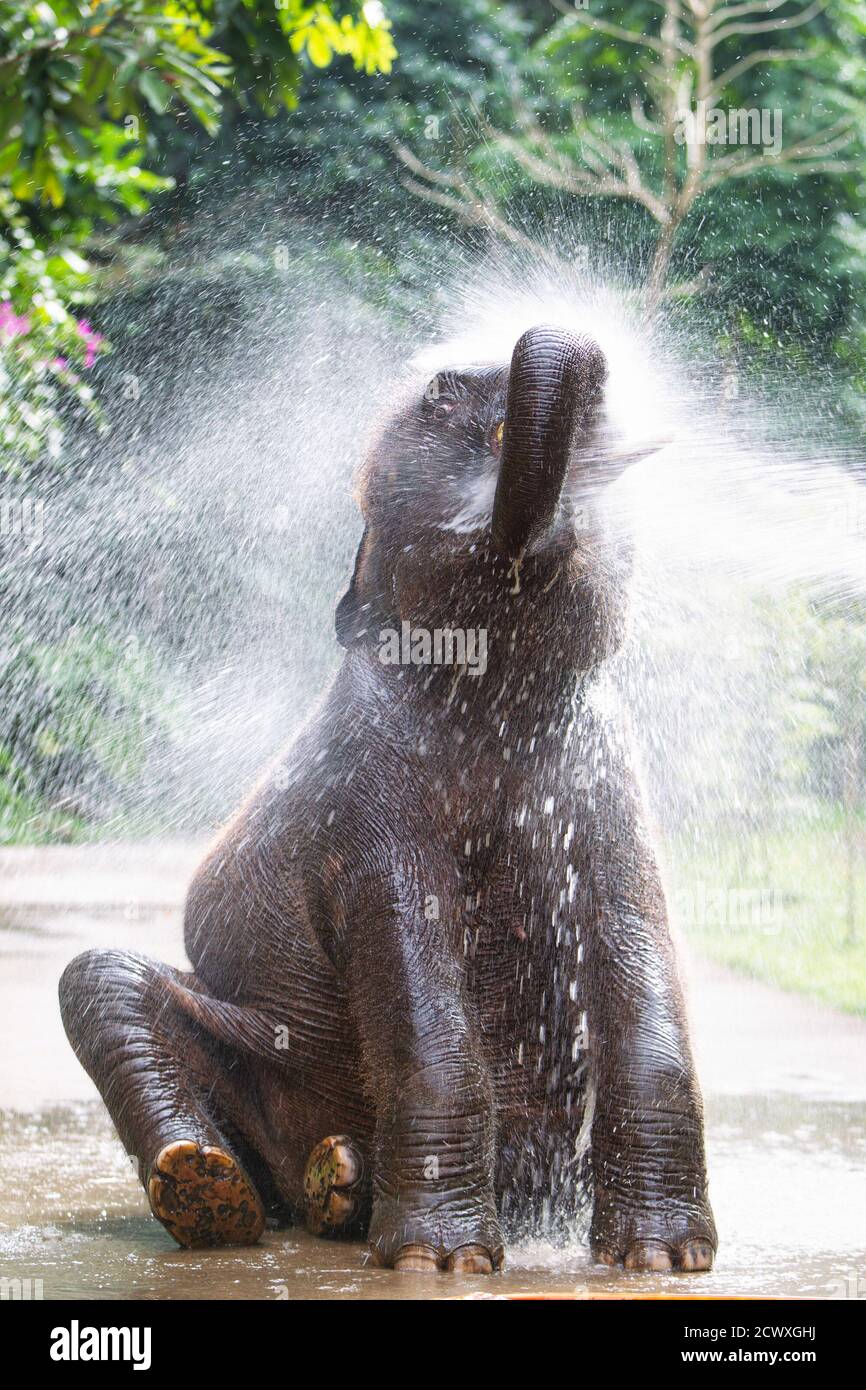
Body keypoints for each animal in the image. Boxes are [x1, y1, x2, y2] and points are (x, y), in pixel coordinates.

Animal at [59, 322, 717, 1273]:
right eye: (438, 394)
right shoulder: (365, 805)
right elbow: (410, 962)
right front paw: (440, 1264)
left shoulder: (608, 787)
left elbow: (636, 940)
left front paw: (663, 1260)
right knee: (99, 979)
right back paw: (223, 1193)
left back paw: (341, 1184)